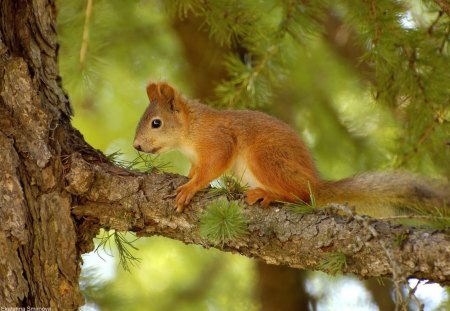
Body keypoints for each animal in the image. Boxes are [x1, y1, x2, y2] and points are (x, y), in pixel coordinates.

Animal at [134, 81, 450, 217]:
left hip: (265, 159)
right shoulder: (196, 157)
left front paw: (191, 187)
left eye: (156, 123)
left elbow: (212, 167)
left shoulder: (218, 140)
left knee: (300, 197)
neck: (190, 131)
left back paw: (268, 194)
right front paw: (188, 178)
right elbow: (196, 169)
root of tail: (316, 184)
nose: (136, 145)